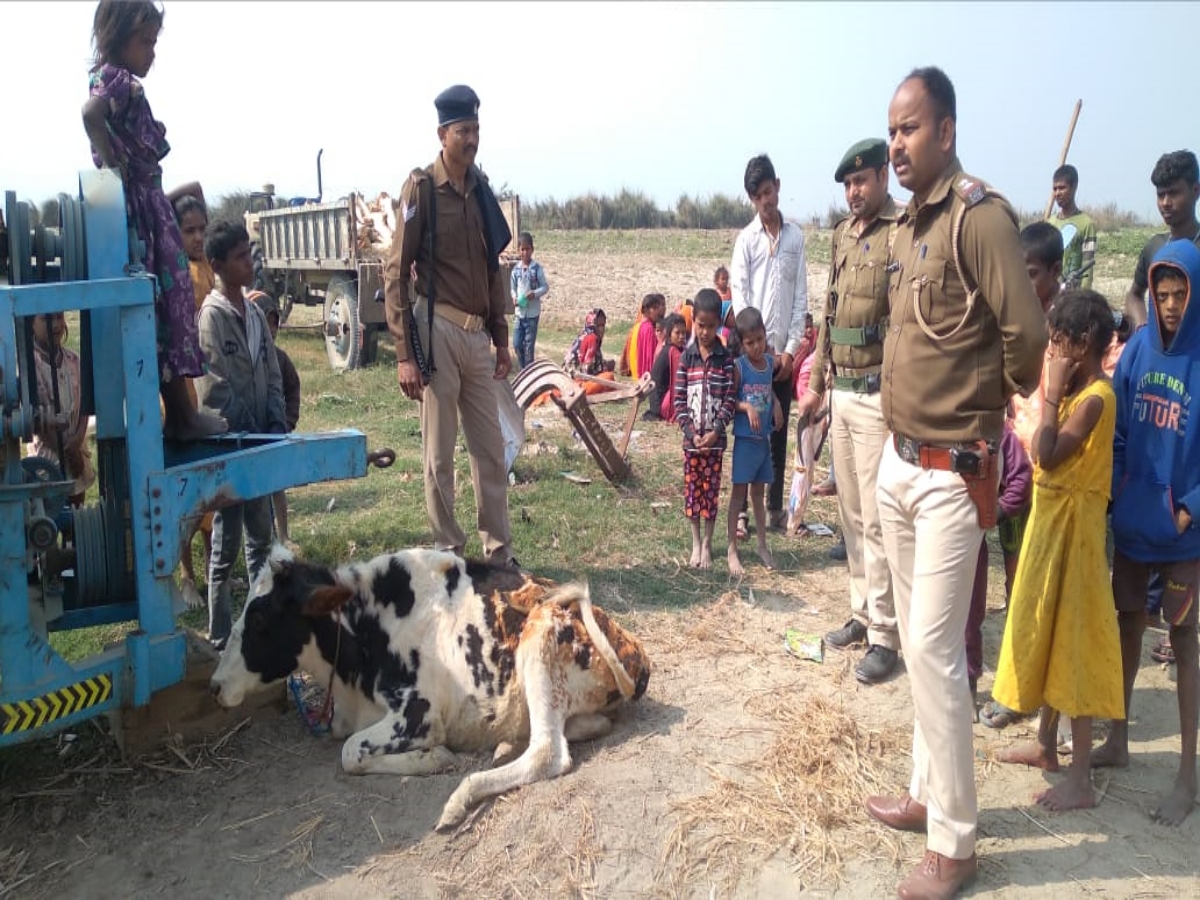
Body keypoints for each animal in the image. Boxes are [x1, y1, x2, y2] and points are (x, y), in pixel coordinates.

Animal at [211, 542, 652, 830]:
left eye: (260, 618)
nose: (215, 685)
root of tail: (636, 653)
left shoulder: (417, 713)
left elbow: (350, 752)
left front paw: (434, 757)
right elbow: (347, 744)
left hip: (541, 633)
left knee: (547, 752)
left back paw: (459, 799)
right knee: (578, 727)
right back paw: (508, 743)